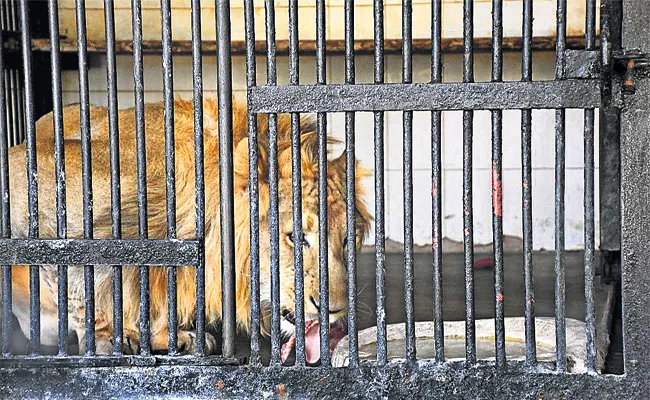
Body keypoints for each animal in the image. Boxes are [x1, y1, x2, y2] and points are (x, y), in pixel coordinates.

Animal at [3, 96, 370, 362]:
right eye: (295, 237)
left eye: (347, 240)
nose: (335, 310)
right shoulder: (31, 177)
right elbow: (78, 274)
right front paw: (107, 339)